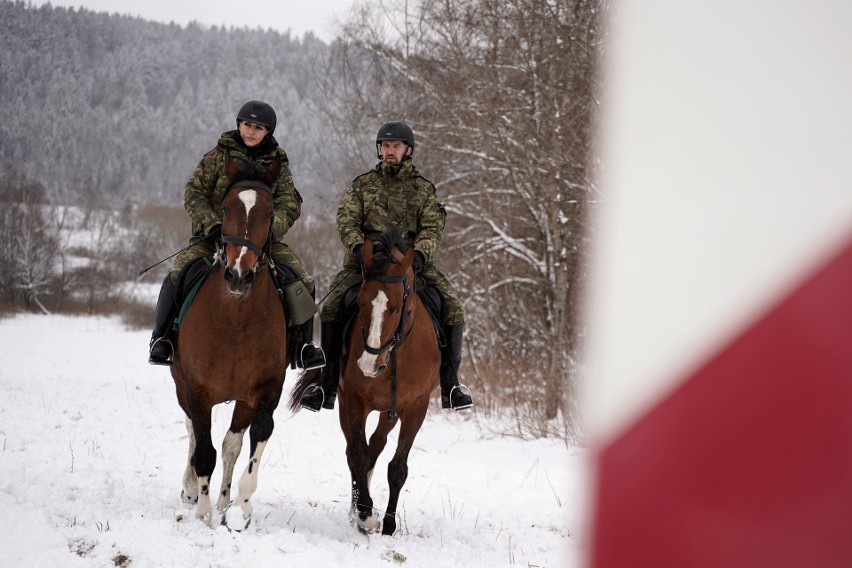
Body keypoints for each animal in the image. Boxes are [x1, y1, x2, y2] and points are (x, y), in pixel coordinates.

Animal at [171, 166, 290, 532]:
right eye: (224, 209)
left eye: (270, 213)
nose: (238, 275)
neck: (237, 320)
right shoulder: (197, 391)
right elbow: (203, 450)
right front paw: (203, 513)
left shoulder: (265, 390)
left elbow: (253, 439)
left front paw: (239, 508)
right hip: (181, 386)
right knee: (193, 434)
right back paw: (191, 489)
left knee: (230, 445)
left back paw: (223, 501)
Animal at [292, 224, 440, 536]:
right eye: (360, 303)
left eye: (396, 308)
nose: (368, 365)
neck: (394, 355)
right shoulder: (354, 402)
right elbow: (358, 454)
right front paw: (364, 514)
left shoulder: (415, 408)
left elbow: (397, 467)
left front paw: (388, 523)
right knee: (355, 452)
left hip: (390, 412)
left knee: (378, 444)